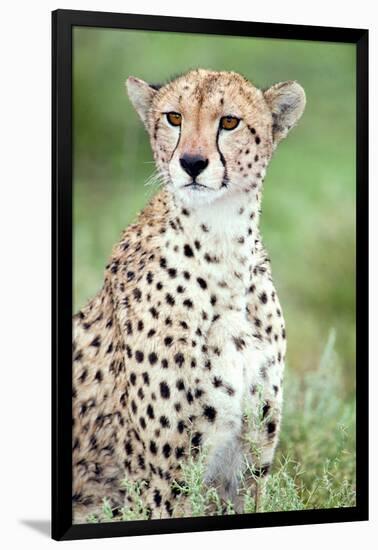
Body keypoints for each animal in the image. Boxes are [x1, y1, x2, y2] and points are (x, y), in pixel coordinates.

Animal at [72, 70, 306, 528]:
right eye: (174, 117)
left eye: (229, 122)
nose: (192, 163)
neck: (221, 249)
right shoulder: (165, 482)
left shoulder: (248, 466)